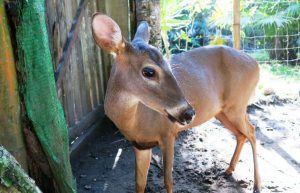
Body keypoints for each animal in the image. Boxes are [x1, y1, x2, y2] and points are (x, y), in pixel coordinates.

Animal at [91, 13, 260, 193]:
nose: (189, 113)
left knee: (251, 131)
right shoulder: (139, 145)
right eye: (148, 71)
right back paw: (229, 170)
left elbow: (168, 180)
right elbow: (139, 183)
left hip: (238, 104)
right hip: (222, 111)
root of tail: (256, 64)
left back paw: (256, 184)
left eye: (168, 65)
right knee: (241, 134)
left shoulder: (168, 133)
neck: (135, 122)